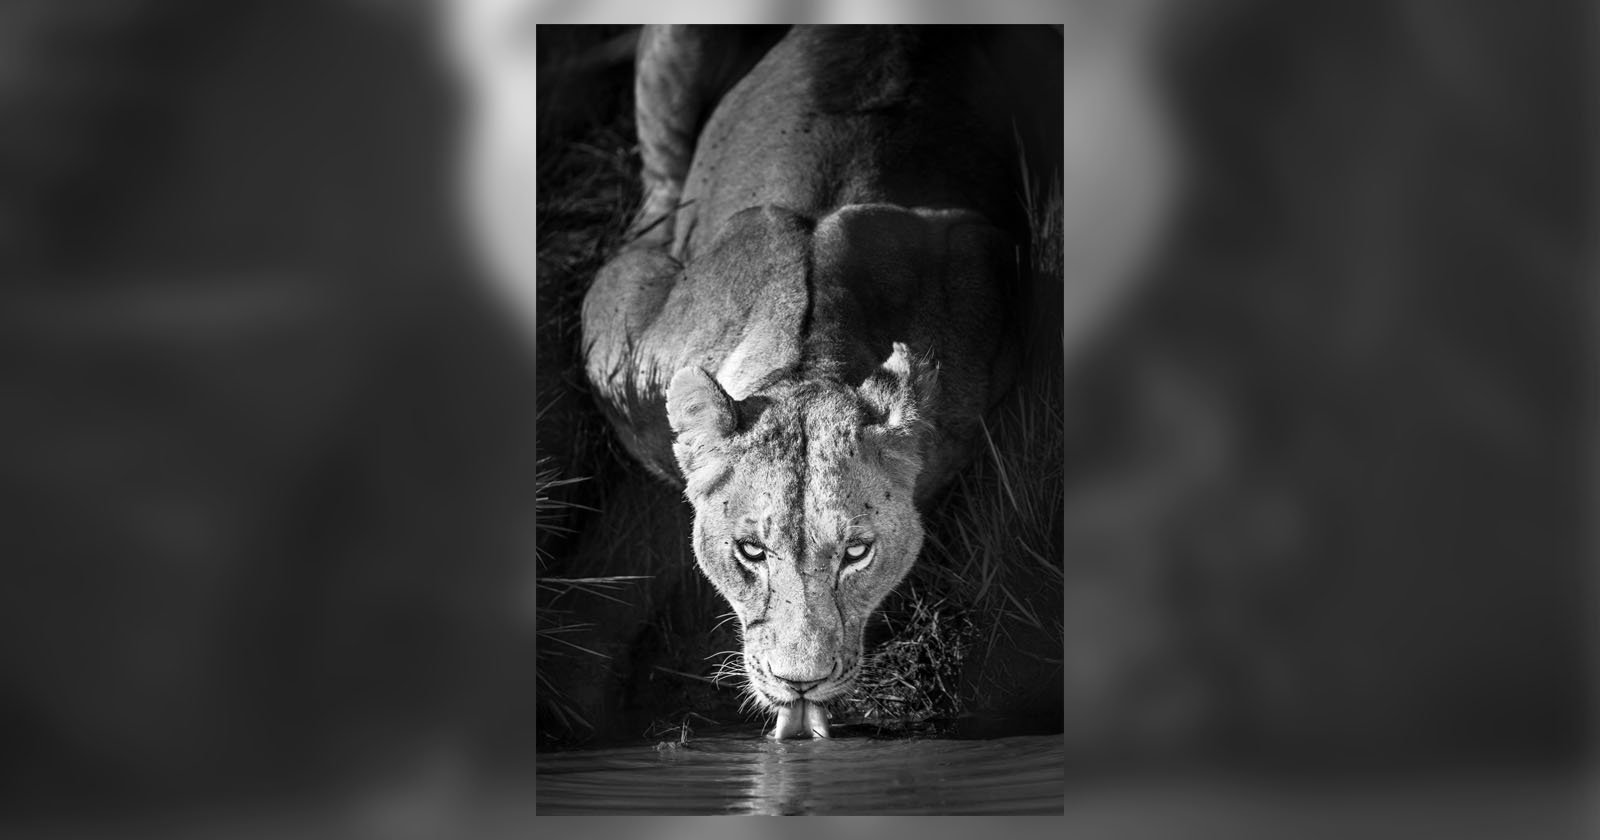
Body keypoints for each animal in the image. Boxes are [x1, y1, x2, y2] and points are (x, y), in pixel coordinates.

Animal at [581, 25, 1063, 738]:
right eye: (749, 551)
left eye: (858, 552)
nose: (800, 683)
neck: (810, 355)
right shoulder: (618, 322)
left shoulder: (991, 275)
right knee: (662, 179)